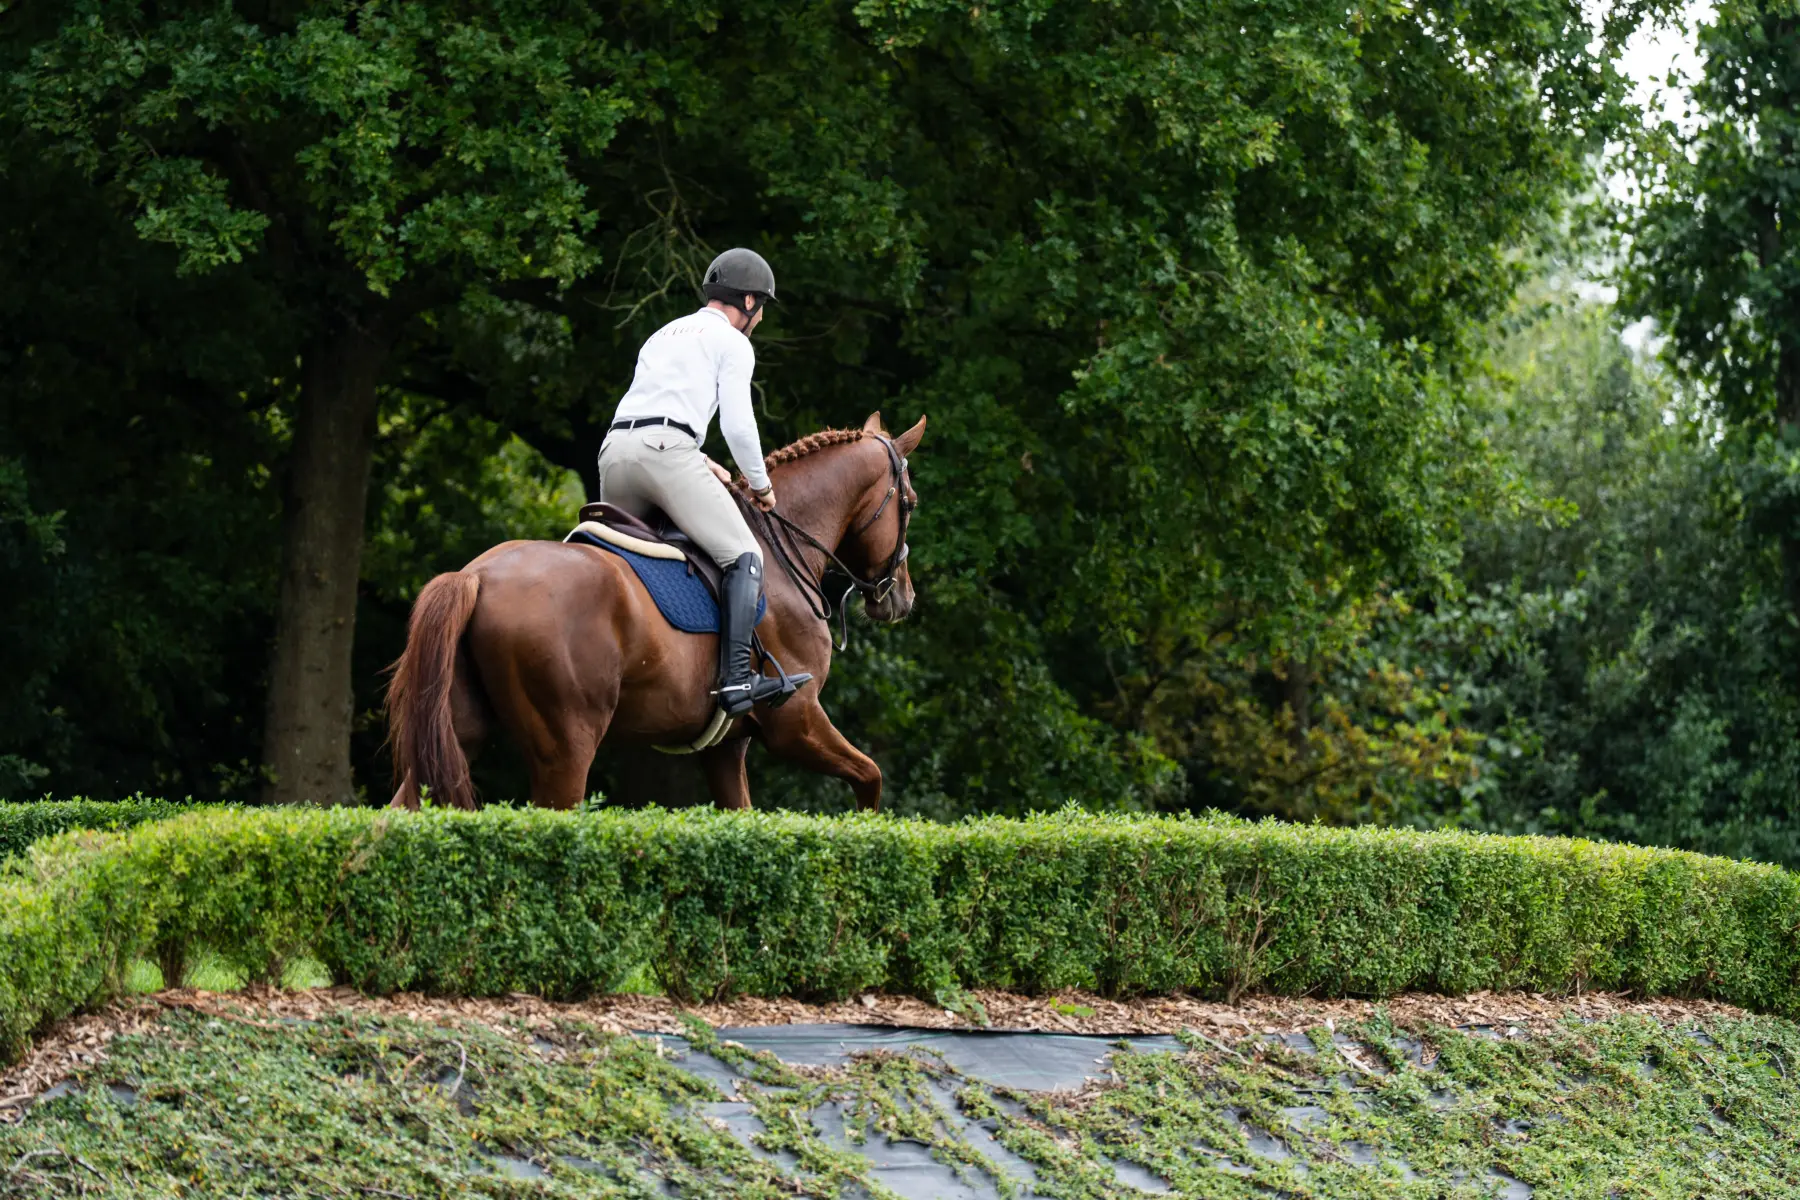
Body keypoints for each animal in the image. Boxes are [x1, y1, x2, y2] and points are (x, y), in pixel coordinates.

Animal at [384, 412, 925, 812]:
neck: (781, 551)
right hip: (565, 749)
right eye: (911, 503)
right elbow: (870, 778)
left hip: (459, 732)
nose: (903, 597)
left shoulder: (726, 747)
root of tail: (476, 576)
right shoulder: (796, 721)